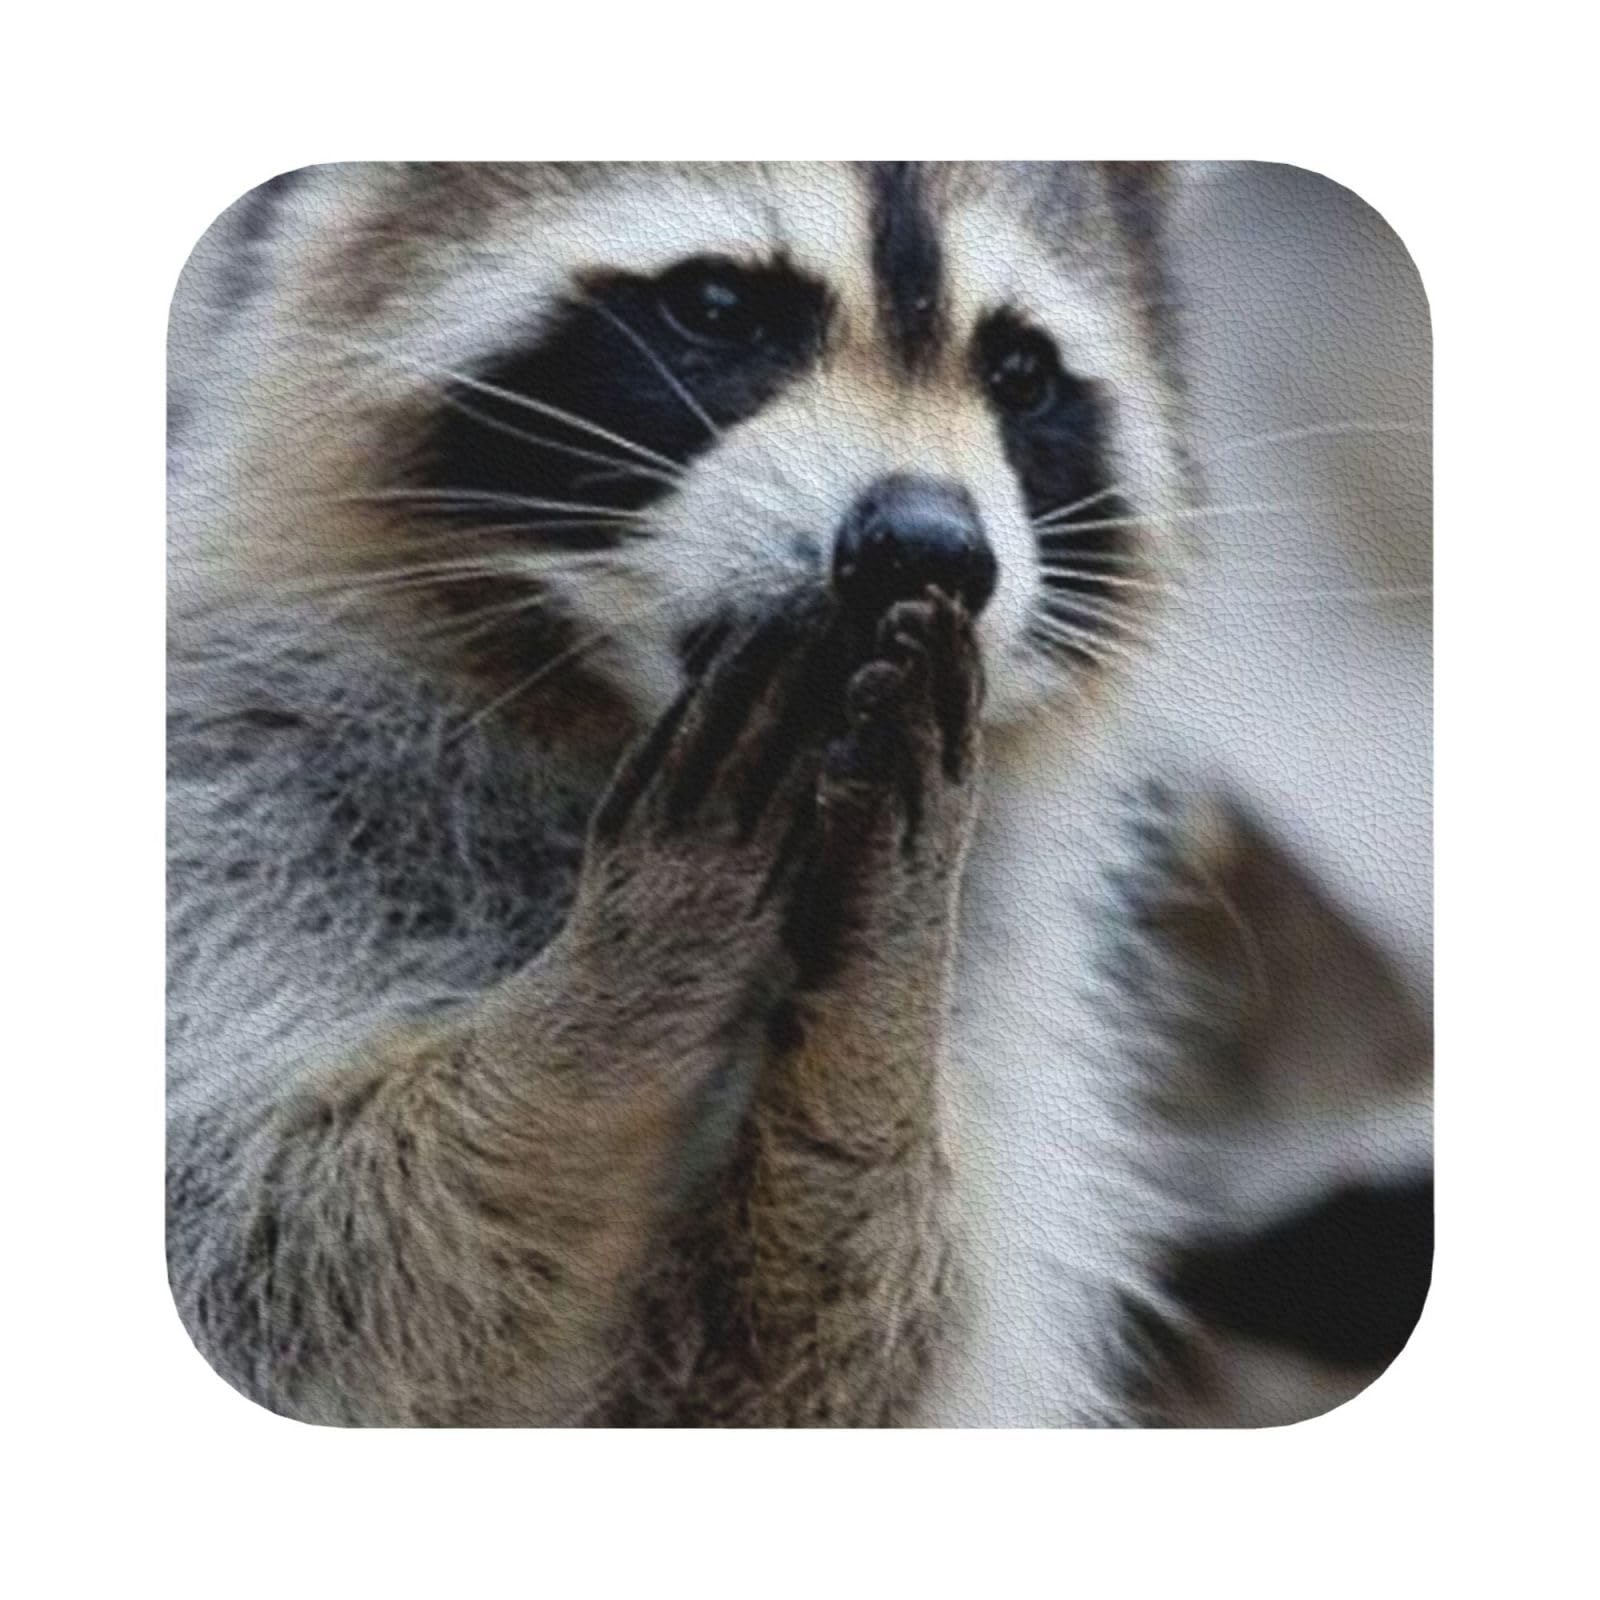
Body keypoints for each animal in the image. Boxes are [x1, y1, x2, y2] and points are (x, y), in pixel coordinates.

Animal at [168, 161, 1209, 1426]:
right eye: (717, 307)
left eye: (1017, 372)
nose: (926, 543)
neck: (606, 720)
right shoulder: (237, 804)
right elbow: (286, 1263)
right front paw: (620, 983)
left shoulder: (1002, 994)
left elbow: (816, 1368)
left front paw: (876, 1014)